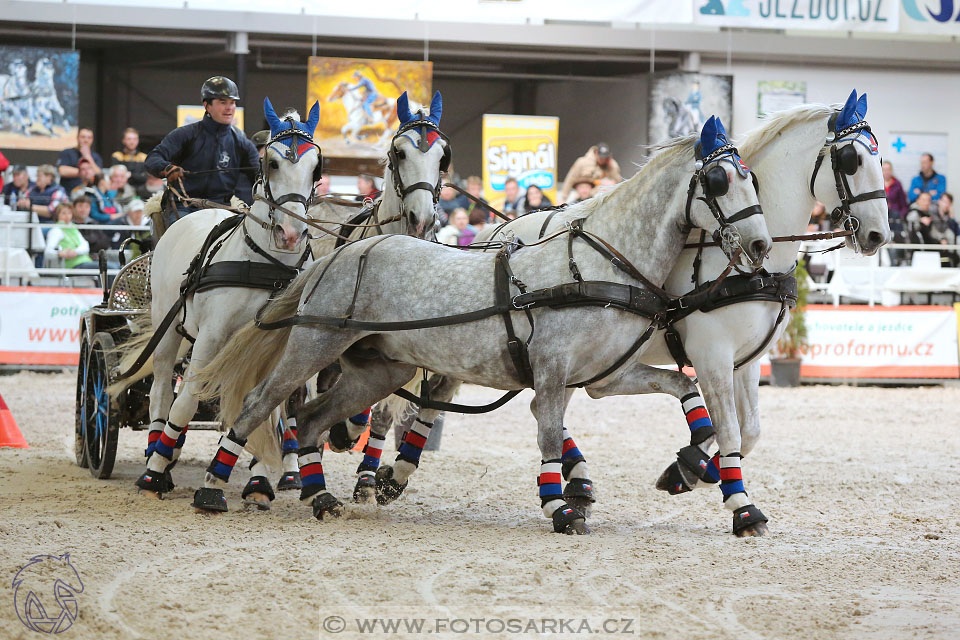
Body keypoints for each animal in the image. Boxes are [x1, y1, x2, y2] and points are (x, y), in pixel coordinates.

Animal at [193, 116, 772, 528]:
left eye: (754, 179)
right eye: (718, 179)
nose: (762, 245)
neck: (598, 262)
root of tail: (336, 253)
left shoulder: (606, 377)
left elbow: (684, 391)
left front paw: (695, 460)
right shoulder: (554, 371)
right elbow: (547, 435)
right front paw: (559, 506)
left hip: (378, 369)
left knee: (311, 419)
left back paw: (320, 497)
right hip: (313, 345)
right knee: (262, 405)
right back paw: (214, 487)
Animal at [472, 87, 892, 532]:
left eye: (879, 158)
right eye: (851, 159)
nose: (878, 234)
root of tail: (498, 231)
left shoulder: (746, 361)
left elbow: (750, 430)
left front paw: (690, 470)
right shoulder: (711, 354)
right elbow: (729, 430)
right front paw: (738, 505)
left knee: (544, 408)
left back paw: (579, 488)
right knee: (544, 408)